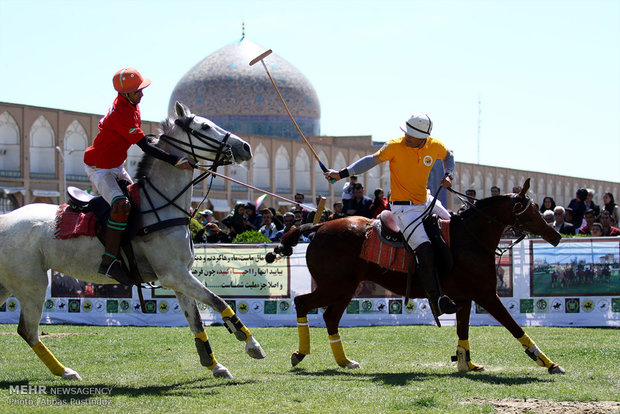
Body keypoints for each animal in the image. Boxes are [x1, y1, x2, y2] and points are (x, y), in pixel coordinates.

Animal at [0, 102, 264, 380]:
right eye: (203, 126)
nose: (244, 147)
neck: (162, 203)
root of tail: (4, 218)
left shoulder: (179, 276)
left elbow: (196, 321)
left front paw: (214, 364)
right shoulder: (174, 274)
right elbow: (219, 301)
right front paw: (251, 343)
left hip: (8, 284)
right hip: (32, 284)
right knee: (28, 331)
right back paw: (66, 372)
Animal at [274, 179, 564, 376]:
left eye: (538, 207)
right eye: (529, 208)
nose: (556, 235)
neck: (470, 237)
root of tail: (320, 225)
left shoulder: (465, 297)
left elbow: (463, 331)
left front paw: (466, 362)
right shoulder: (486, 294)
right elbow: (514, 326)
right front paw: (548, 363)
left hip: (346, 288)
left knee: (330, 318)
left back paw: (344, 361)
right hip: (335, 286)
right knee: (302, 303)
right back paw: (301, 353)